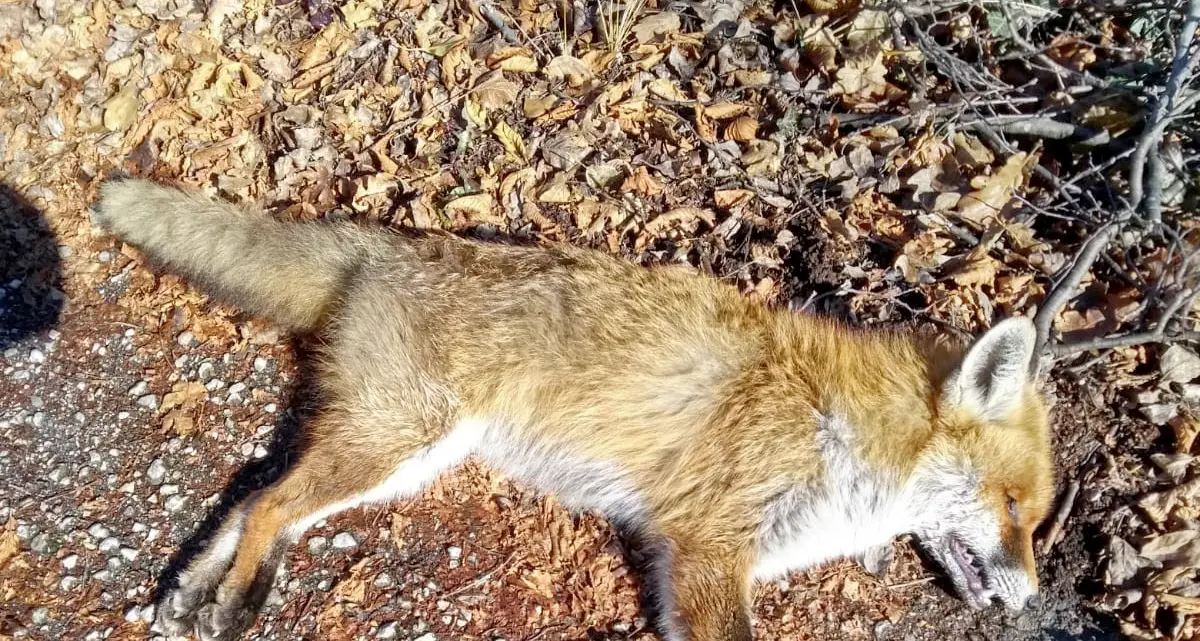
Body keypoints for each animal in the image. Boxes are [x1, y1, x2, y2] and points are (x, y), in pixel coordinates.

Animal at [93, 176, 1055, 641]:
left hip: (400, 456)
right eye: (1015, 508)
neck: (846, 434)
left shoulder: (704, 554)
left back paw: (192, 594)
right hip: (397, 444)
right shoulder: (708, 548)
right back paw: (233, 603)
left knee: (256, 496)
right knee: (270, 505)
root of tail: (389, 244)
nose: (1033, 598)